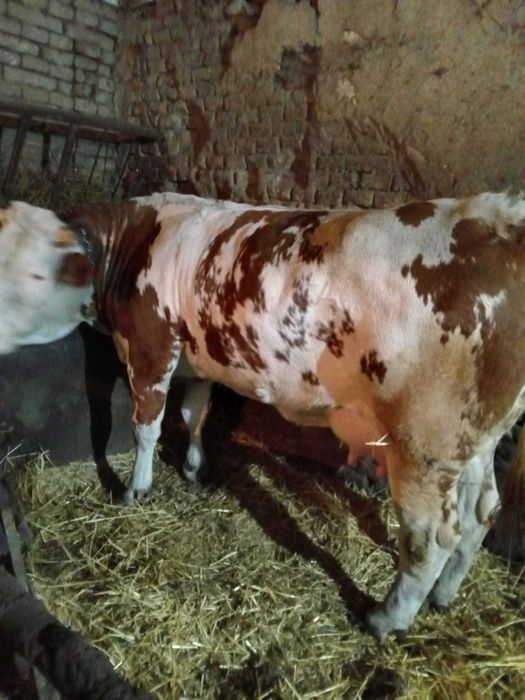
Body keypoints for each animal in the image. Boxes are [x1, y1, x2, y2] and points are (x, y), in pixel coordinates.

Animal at [66, 191, 525, 639]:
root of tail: (499, 216)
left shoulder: (151, 347)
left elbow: (147, 426)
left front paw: (136, 489)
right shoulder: (198, 359)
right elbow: (194, 412)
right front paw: (194, 467)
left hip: (425, 442)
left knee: (431, 538)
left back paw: (386, 619)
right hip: (474, 440)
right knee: (482, 511)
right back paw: (443, 596)